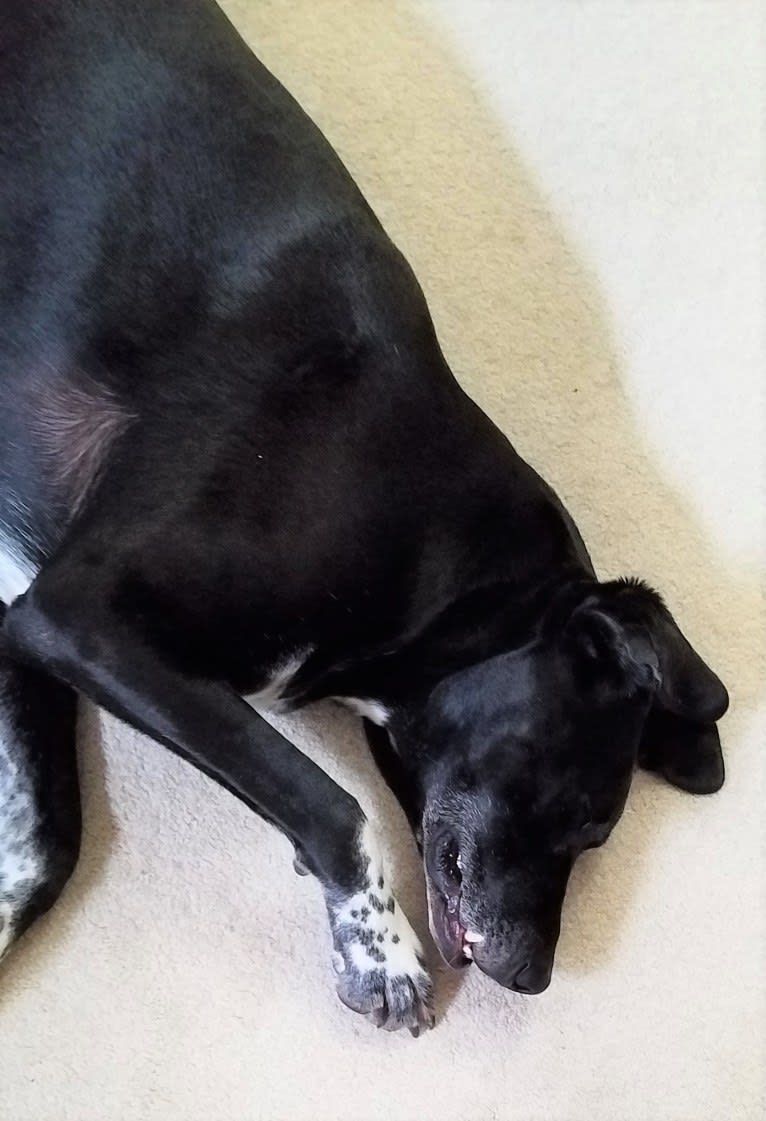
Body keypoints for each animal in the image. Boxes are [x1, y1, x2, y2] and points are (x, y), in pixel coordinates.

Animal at [1, 0, 731, 1031]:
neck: (431, 554)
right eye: (589, 819)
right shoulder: (76, 608)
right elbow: (328, 799)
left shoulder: (20, 617)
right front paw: (379, 944)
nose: (532, 979)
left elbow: (44, 845)